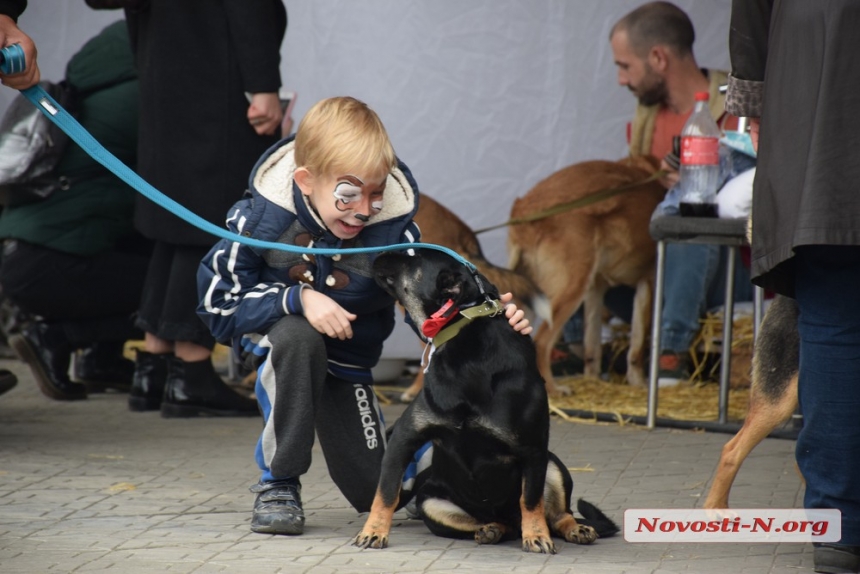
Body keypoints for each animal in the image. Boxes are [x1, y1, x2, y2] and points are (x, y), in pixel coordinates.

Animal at [352, 250, 616, 556]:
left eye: (412, 255)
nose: (375, 253)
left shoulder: (534, 451)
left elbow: (531, 500)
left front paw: (536, 536)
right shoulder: (404, 438)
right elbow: (385, 493)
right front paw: (373, 531)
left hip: (553, 466)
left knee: (560, 514)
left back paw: (574, 529)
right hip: (430, 502)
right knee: (494, 525)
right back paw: (490, 529)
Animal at [508, 155, 668, 394]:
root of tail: (524, 211)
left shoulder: (595, 288)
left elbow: (592, 347)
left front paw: (593, 380)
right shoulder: (648, 282)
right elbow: (638, 344)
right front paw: (638, 382)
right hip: (569, 290)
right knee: (542, 342)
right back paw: (554, 389)